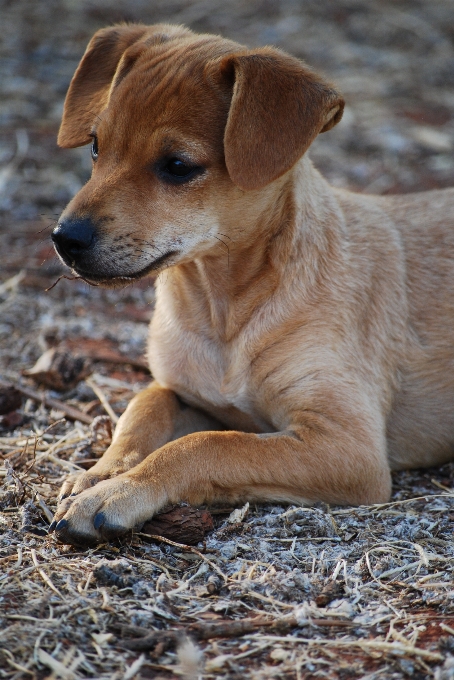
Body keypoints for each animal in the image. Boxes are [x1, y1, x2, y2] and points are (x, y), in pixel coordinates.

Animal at [49, 22, 454, 548]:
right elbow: (143, 411)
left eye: (177, 166)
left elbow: (208, 445)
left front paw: (119, 493)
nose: (64, 239)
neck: (222, 312)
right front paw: (100, 474)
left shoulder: (349, 446)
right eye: (97, 145)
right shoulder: (183, 391)